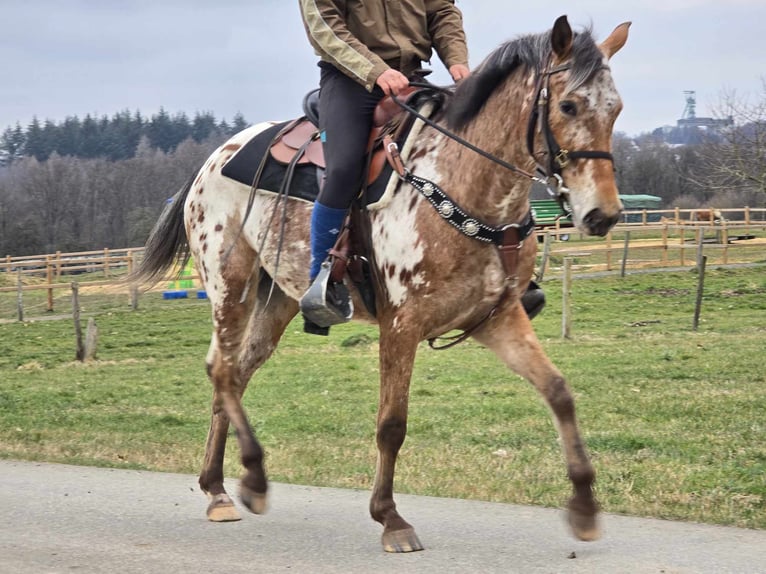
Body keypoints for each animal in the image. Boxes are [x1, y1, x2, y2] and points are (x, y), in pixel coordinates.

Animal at [134, 13, 632, 552]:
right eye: (568, 105)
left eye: (616, 108)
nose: (602, 215)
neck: (462, 184)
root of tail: (211, 161)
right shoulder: (401, 324)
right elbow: (392, 423)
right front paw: (390, 518)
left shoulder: (497, 317)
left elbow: (559, 391)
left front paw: (584, 506)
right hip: (230, 286)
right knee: (223, 372)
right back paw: (251, 480)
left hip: (276, 300)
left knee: (236, 374)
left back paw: (222, 487)